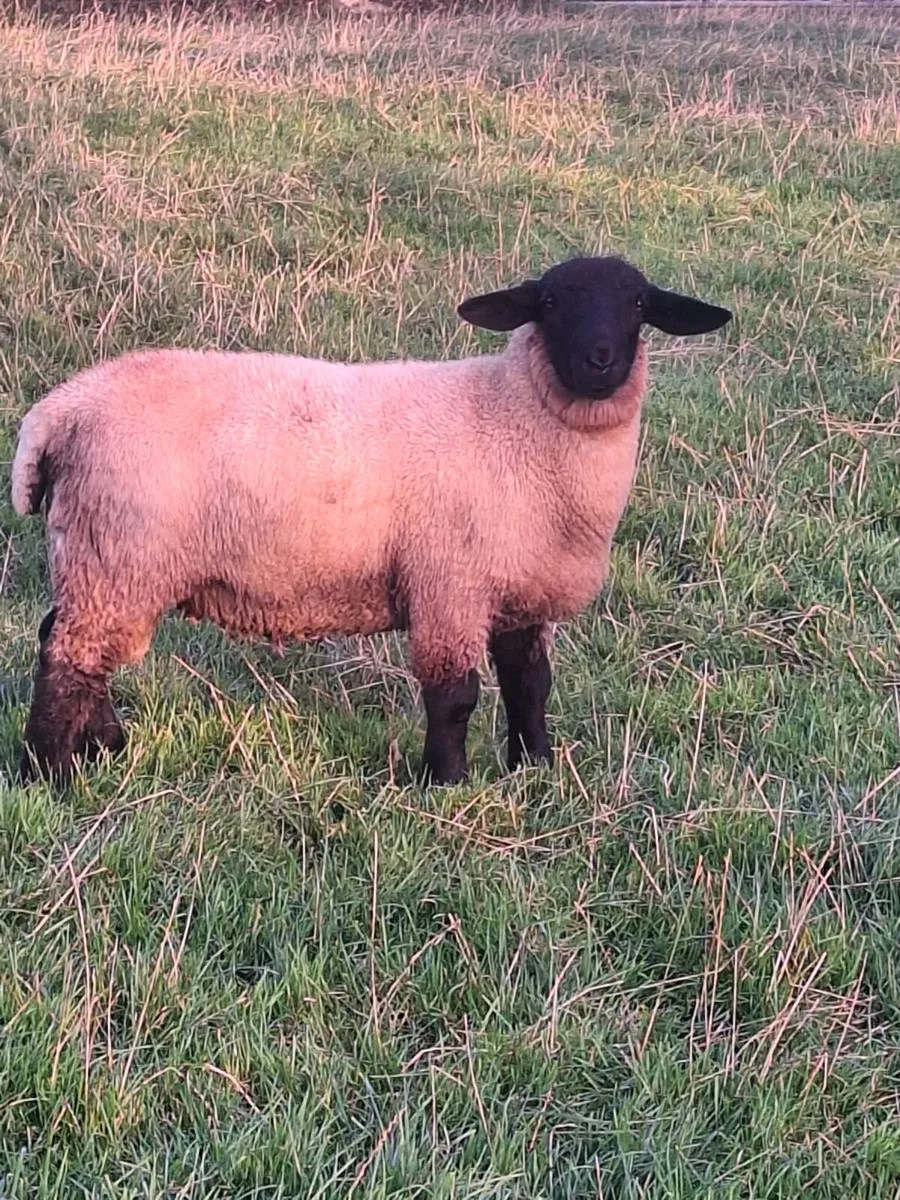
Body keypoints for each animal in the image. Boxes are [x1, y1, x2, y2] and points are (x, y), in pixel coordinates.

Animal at [10, 254, 731, 787]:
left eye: (638, 304)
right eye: (550, 303)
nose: (599, 360)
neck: (516, 418)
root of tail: (61, 408)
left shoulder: (519, 589)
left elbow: (531, 686)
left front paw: (536, 769)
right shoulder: (449, 583)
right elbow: (455, 693)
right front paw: (446, 783)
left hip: (104, 556)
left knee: (71, 644)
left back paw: (104, 744)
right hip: (118, 550)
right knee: (69, 656)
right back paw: (51, 773)